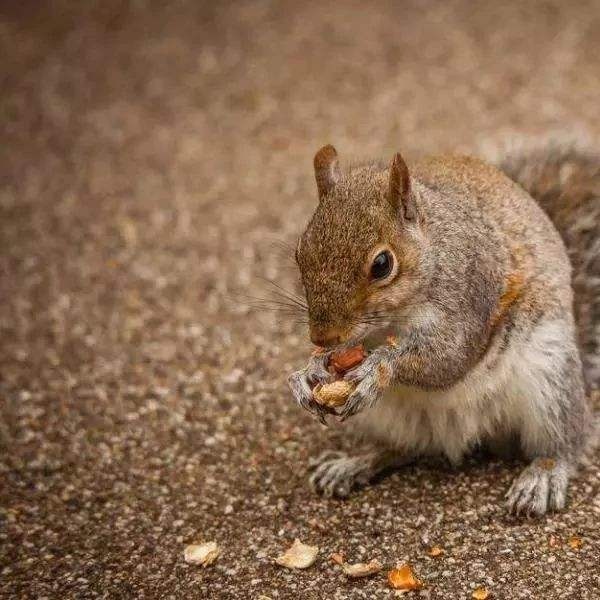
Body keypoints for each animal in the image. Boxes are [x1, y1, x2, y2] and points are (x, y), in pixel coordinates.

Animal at [288, 136, 596, 516]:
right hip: (387, 416)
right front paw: (308, 371)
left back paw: (545, 474)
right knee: (400, 448)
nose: (322, 336)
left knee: (567, 440)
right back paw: (353, 463)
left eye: (382, 264)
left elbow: (448, 357)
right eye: (299, 254)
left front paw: (378, 367)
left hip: (550, 376)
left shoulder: (471, 295)